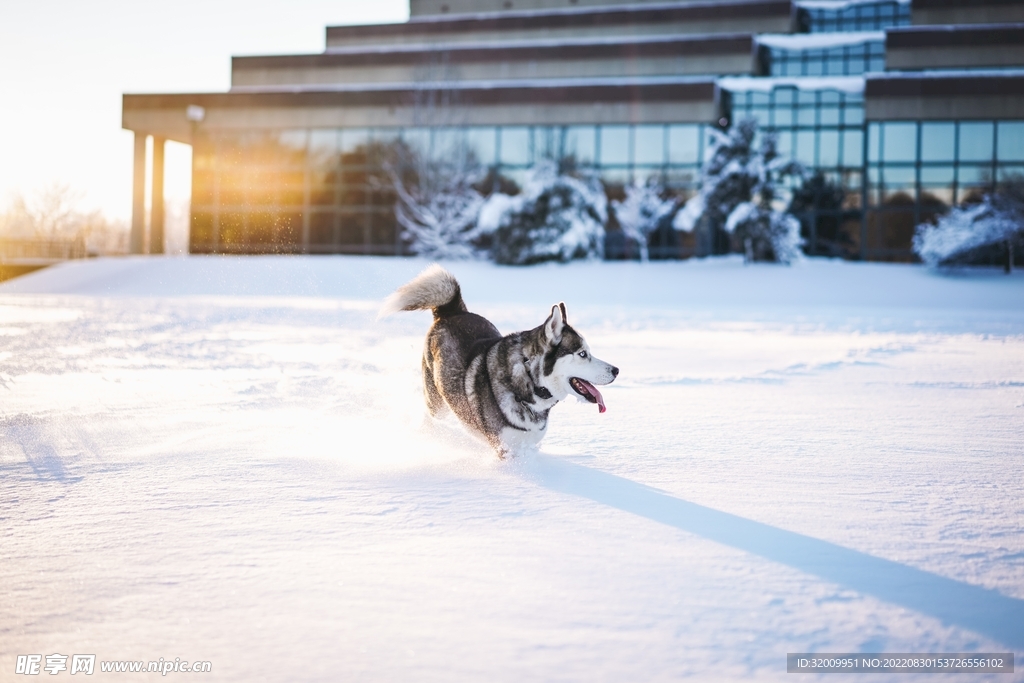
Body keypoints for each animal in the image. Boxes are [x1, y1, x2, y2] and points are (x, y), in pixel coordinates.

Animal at [378, 266, 610, 458]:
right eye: (582, 354)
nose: (615, 370)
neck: (527, 383)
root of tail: (452, 311)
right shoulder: (506, 451)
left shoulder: (528, 445)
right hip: (438, 401)